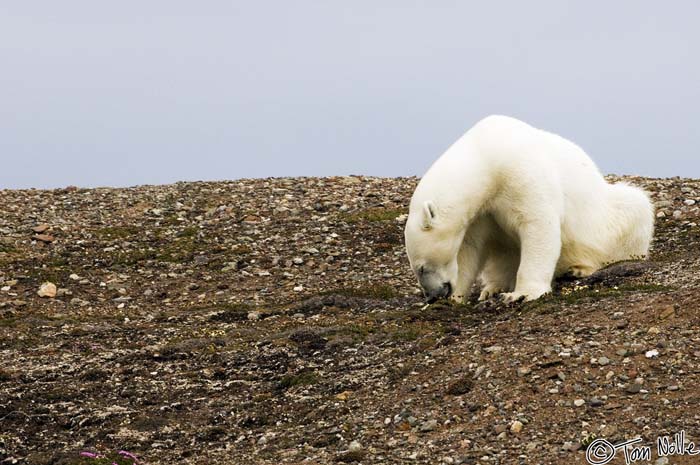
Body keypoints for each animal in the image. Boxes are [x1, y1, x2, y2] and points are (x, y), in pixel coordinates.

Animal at [404, 115, 656, 302]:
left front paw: (521, 294)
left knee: (634, 207)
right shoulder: (480, 211)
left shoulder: (520, 170)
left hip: (605, 218)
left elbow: (538, 223)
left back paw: (578, 269)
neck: (486, 155)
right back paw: (493, 288)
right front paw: (457, 296)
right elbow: (470, 246)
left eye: (422, 268)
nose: (433, 295)